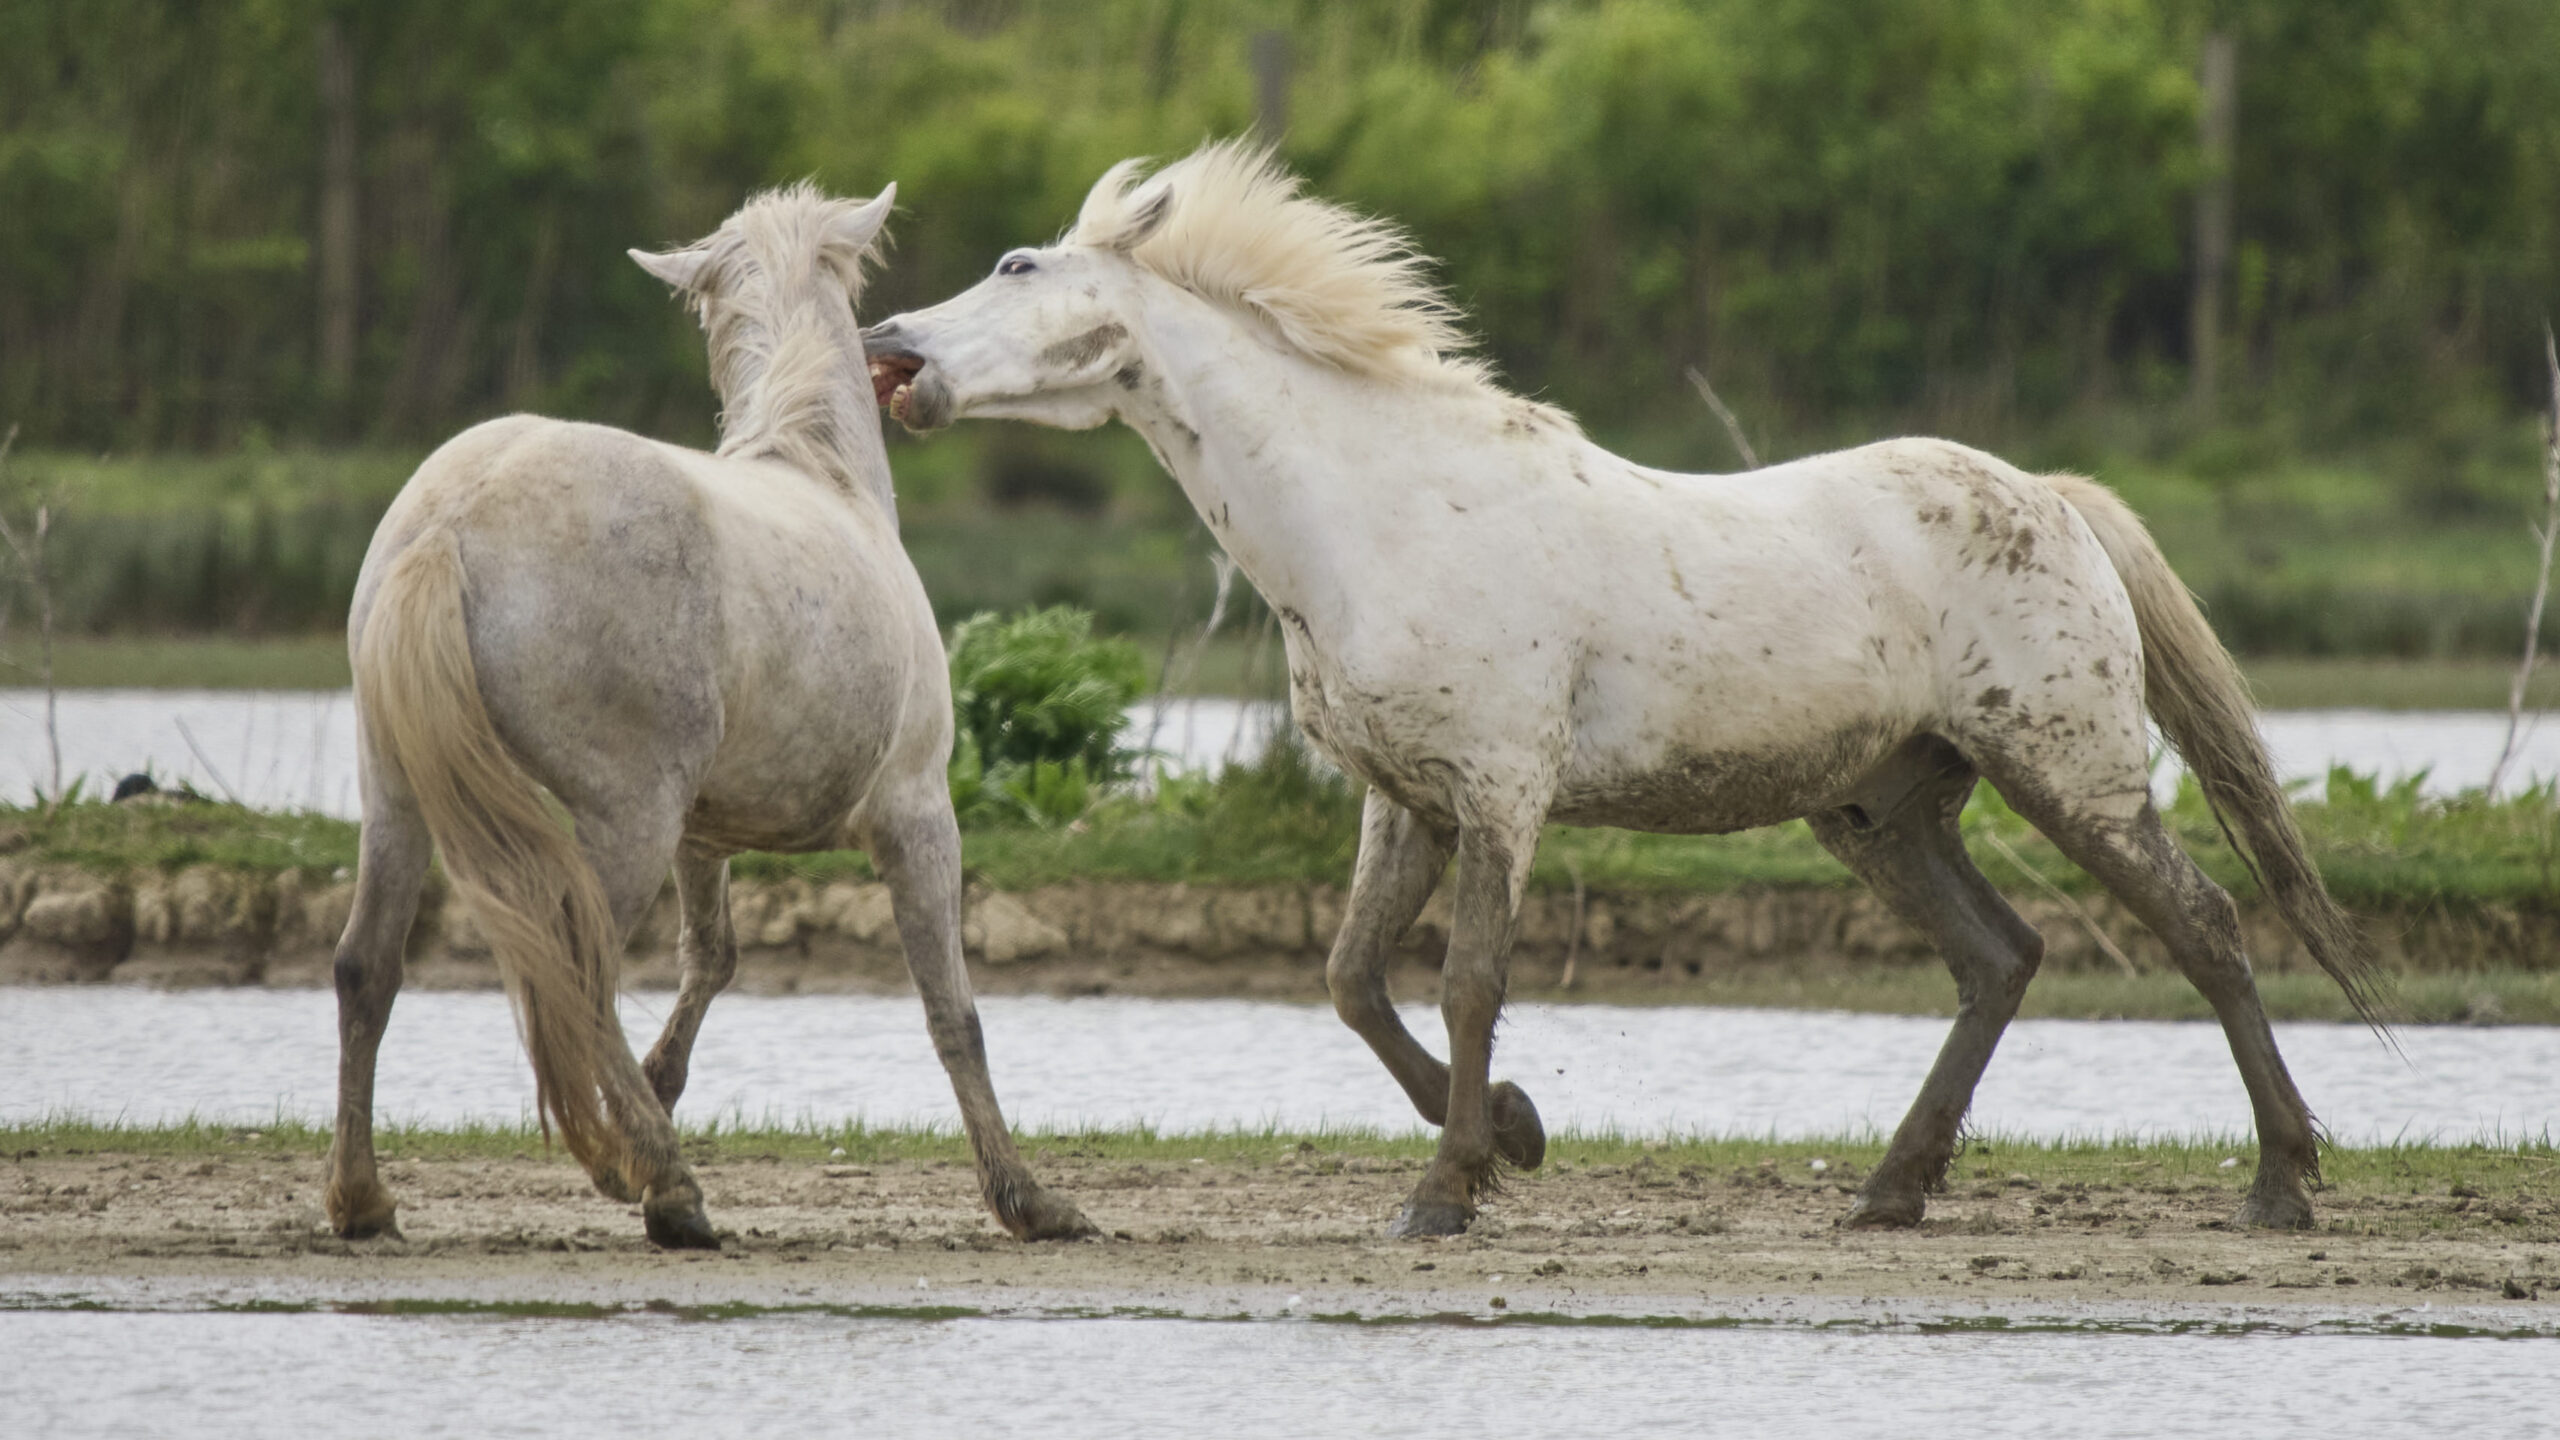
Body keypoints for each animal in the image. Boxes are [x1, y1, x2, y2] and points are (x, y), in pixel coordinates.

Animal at [325, 184, 1095, 1245]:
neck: (822, 470)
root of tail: (451, 522)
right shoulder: (917, 815)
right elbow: (954, 1013)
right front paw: (1027, 1198)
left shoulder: (704, 830)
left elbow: (714, 960)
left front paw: (654, 1092)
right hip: (624, 816)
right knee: (575, 976)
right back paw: (669, 1187)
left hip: (399, 793)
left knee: (367, 967)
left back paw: (365, 1199)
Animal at [870, 137, 2385, 1235]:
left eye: (1015, 262)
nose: (892, 347)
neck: (1380, 515)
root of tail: (2059, 501)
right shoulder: (1402, 799)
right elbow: (1354, 981)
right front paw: (1513, 1135)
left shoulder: (1500, 792)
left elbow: (1469, 983)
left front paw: (1446, 1193)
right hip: (1884, 810)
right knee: (1999, 959)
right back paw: (1891, 1193)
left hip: (2072, 773)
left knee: (2206, 931)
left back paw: (2280, 1184)